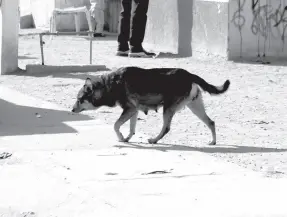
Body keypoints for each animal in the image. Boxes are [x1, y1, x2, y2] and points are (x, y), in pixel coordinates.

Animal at [72, 66, 232, 144]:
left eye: (79, 99)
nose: (72, 110)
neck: (108, 85)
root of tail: (189, 74)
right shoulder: (133, 110)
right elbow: (132, 128)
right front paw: (127, 138)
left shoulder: (129, 109)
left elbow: (116, 125)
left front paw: (121, 138)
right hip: (195, 107)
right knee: (211, 122)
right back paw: (213, 141)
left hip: (168, 109)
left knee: (166, 128)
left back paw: (154, 140)